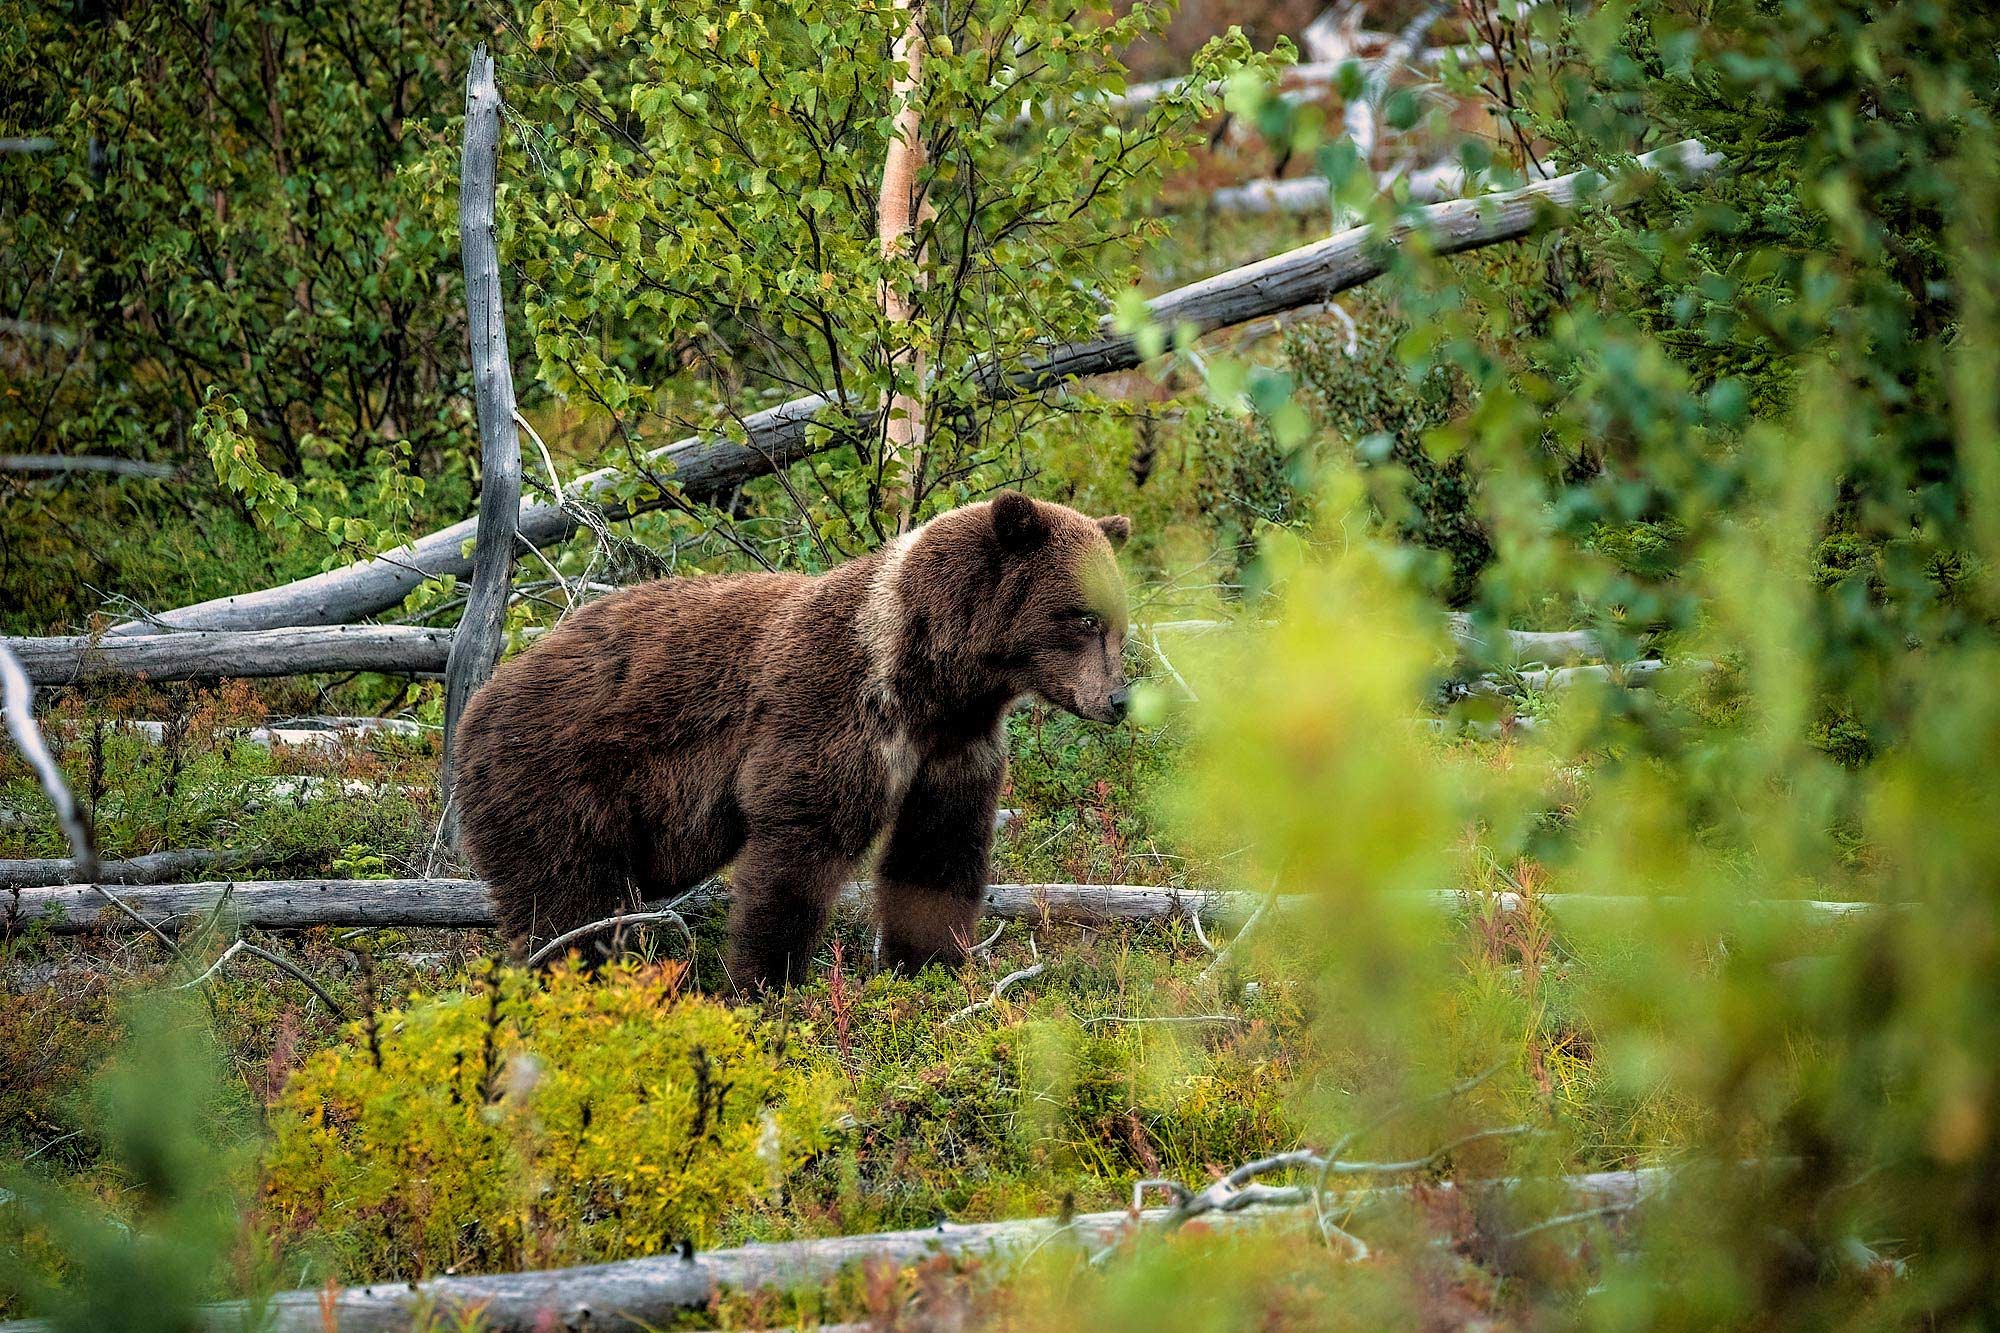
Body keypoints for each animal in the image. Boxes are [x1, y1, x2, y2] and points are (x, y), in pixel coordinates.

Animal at [456, 492, 1136, 980]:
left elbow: (938, 852)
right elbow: (800, 846)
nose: (1119, 700)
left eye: (1120, 623)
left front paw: (929, 967)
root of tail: (474, 705)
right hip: (554, 785)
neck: (927, 678)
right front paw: (765, 980)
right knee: (569, 909)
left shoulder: (954, 747)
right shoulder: (830, 709)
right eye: (1083, 619)